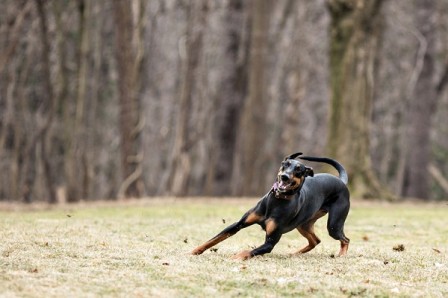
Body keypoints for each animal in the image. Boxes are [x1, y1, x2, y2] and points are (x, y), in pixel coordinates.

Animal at [192, 152, 350, 260]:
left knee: (345, 239)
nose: (285, 176)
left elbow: (249, 251)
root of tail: (341, 181)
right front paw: (194, 251)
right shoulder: (238, 224)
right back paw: (295, 253)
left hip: (333, 225)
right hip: (303, 225)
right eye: (285, 164)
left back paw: (341, 255)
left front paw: (237, 257)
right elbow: (215, 239)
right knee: (315, 241)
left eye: (298, 169)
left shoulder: (270, 243)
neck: (277, 200)